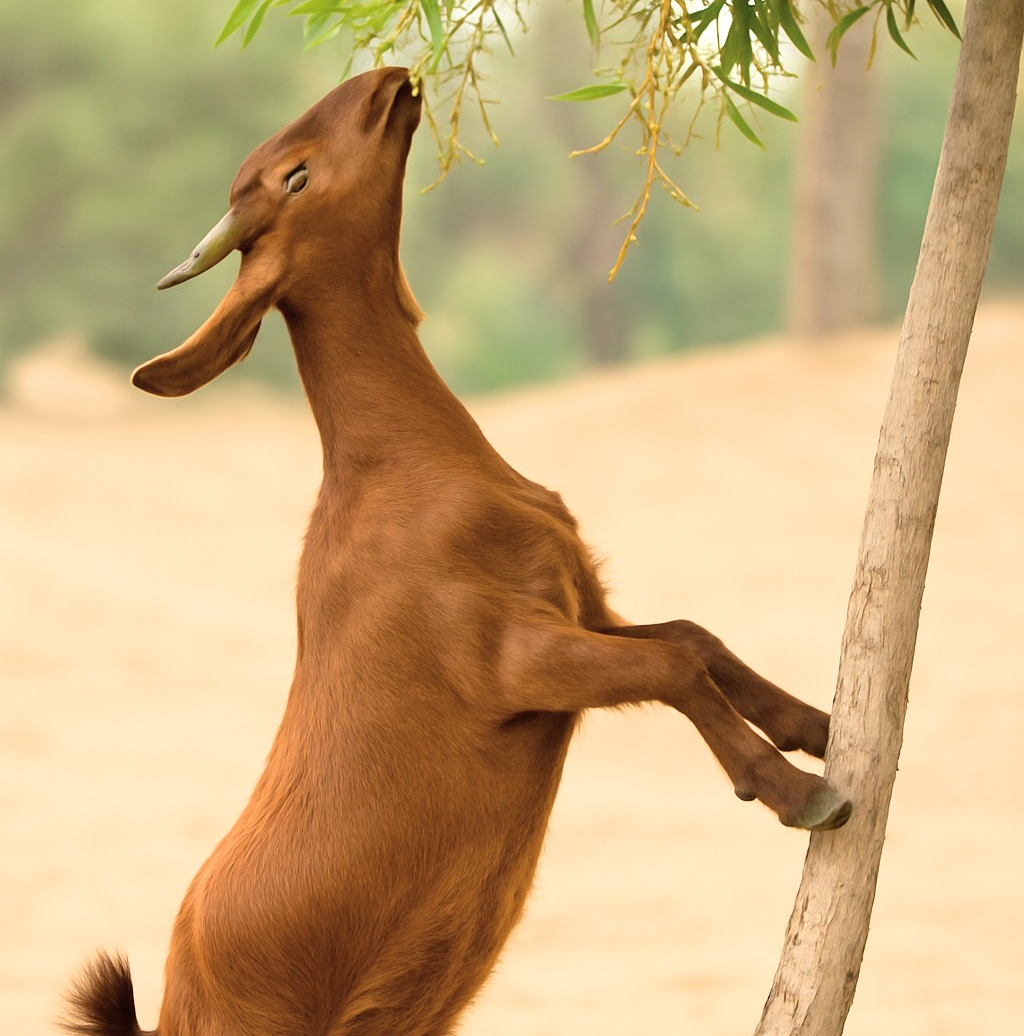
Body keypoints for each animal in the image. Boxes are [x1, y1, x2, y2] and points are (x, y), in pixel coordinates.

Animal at [63, 66, 851, 1036]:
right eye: (295, 177)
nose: (385, 79)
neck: (410, 464)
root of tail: (170, 1011)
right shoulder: (514, 661)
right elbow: (671, 666)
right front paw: (797, 792)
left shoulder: (579, 606)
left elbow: (693, 637)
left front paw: (823, 727)